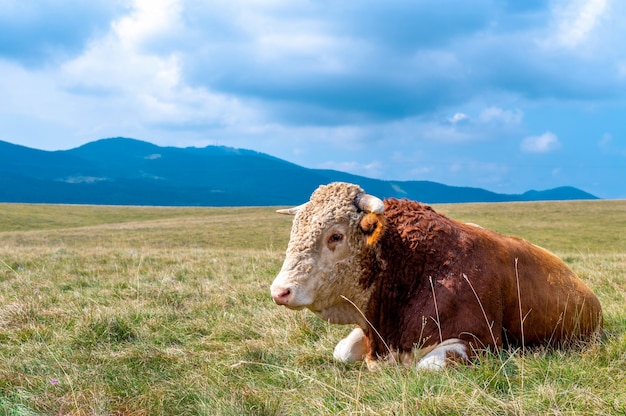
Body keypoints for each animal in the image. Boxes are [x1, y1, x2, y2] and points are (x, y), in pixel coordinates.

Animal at [270, 183, 604, 370]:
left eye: (336, 236)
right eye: (295, 230)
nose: (280, 291)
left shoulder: (479, 342)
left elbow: (427, 366)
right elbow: (341, 351)